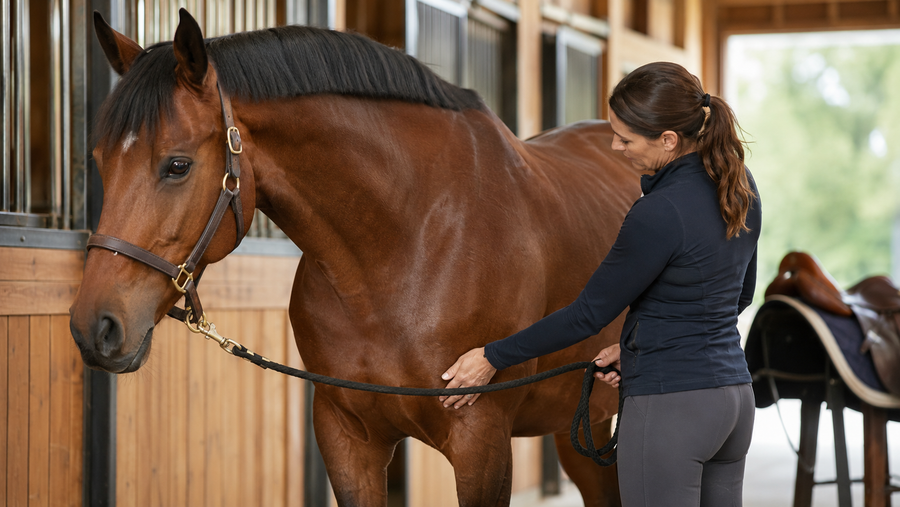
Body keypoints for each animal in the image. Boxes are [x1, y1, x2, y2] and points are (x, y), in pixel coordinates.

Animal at [69, 9, 641, 506]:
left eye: (178, 165)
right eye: (98, 160)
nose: (94, 327)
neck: (404, 247)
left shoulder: (482, 441)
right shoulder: (347, 438)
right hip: (585, 423)